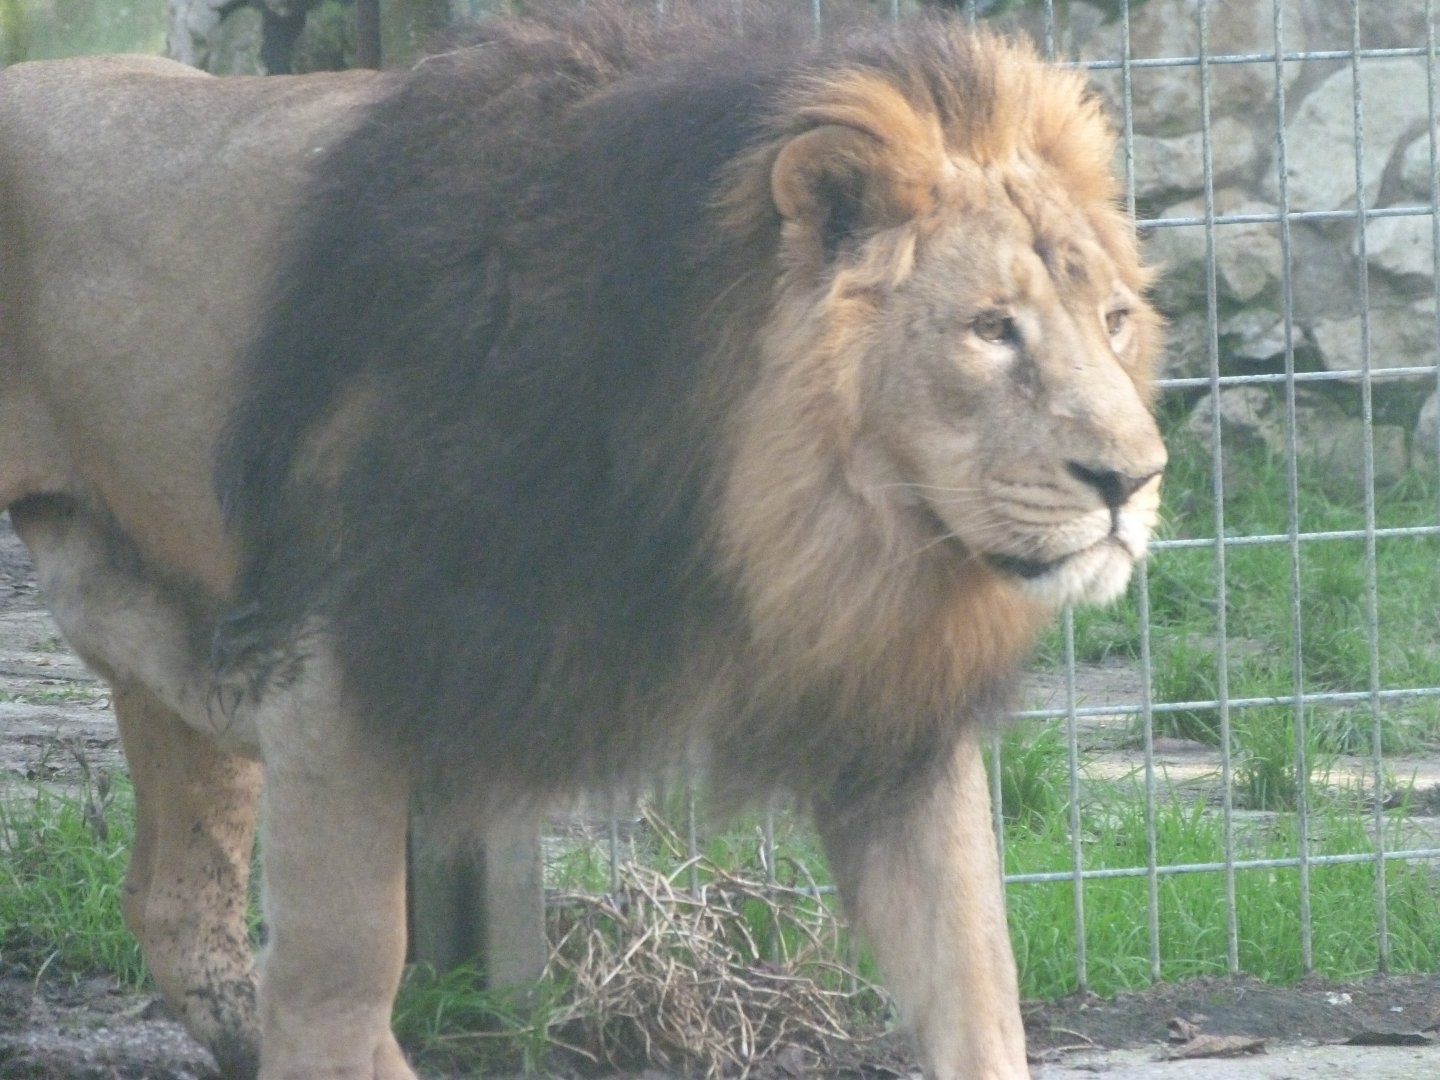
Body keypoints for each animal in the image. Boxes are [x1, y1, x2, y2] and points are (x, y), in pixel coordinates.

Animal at [0, 4, 1165, 1079]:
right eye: (991, 328)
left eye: (1112, 320)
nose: (1135, 480)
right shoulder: (338, 670)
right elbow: (343, 973)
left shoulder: (886, 712)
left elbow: (977, 974)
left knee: (172, 899)